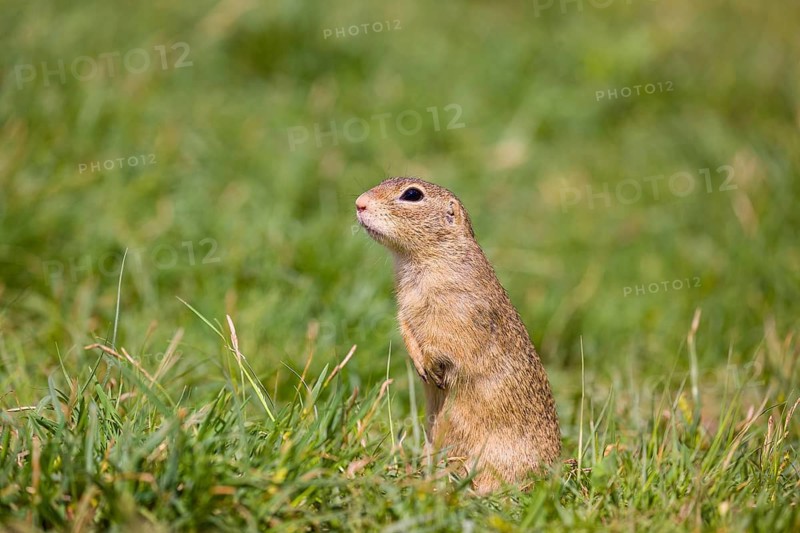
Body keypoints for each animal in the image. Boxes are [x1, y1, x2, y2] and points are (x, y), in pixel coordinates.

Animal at [355, 177, 561, 492]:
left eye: (412, 195)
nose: (359, 203)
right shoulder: (404, 307)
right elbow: (406, 329)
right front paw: (420, 364)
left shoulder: (458, 310)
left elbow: (447, 340)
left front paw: (432, 368)